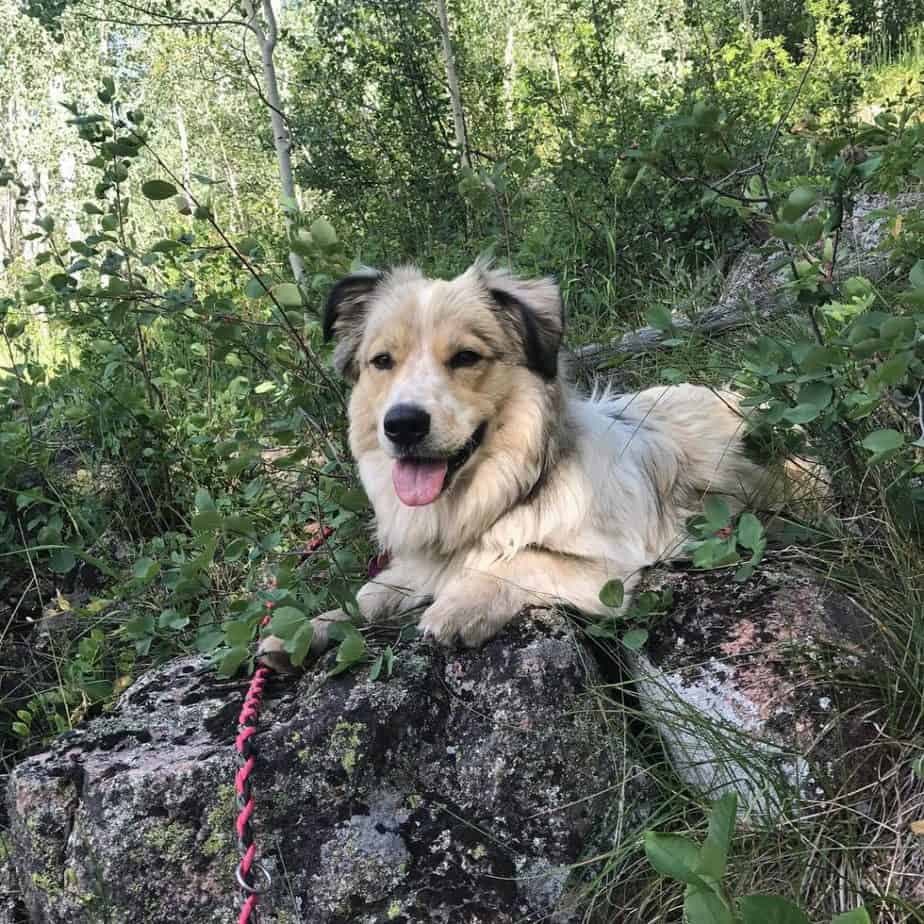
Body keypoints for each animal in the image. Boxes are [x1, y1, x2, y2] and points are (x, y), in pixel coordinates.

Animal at [258, 258, 800, 664]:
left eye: (465, 357)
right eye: (382, 362)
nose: (403, 425)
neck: (506, 492)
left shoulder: (608, 567)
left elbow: (524, 557)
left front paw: (460, 604)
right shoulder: (418, 564)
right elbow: (368, 597)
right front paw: (306, 629)